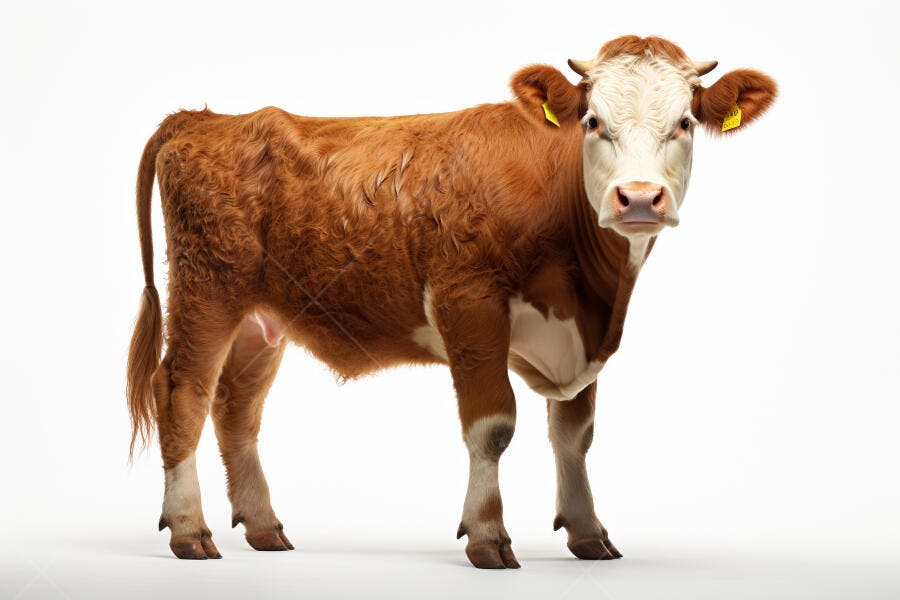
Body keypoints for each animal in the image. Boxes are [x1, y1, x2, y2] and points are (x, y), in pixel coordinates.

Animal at [127, 35, 777, 569]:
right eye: (593, 121)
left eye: (685, 122)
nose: (639, 198)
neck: (593, 291)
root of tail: (204, 120)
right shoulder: (470, 303)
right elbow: (493, 425)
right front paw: (488, 536)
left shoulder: (580, 331)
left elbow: (574, 433)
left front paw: (589, 533)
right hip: (208, 289)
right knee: (183, 392)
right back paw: (189, 531)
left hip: (261, 320)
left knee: (236, 408)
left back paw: (264, 528)